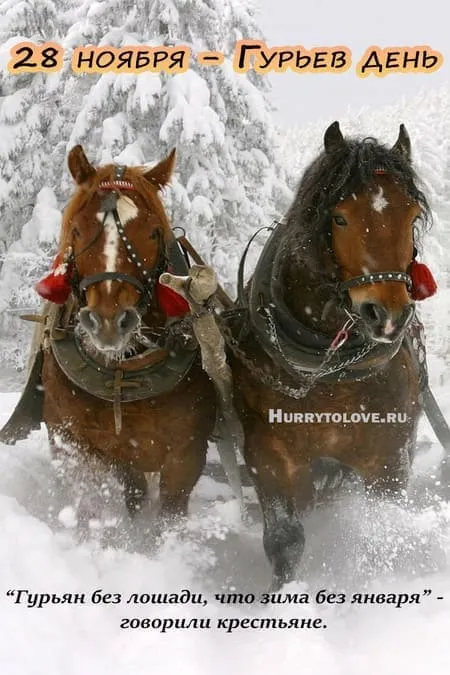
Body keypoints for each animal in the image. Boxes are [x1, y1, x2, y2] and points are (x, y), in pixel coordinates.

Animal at [39, 145, 216, 524]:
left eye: (153, 232)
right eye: (77, 230)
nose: (108, 321)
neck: (122, 373)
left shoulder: (186, 454)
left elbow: (170, 514)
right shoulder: (73, 442)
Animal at [232, 123, 432, 592]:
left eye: (412, 215)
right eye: (340, 218)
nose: (387, 314)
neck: (330, 374)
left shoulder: (390, 459)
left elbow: (380, 534)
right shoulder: (268, 453)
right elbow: (285, 540)